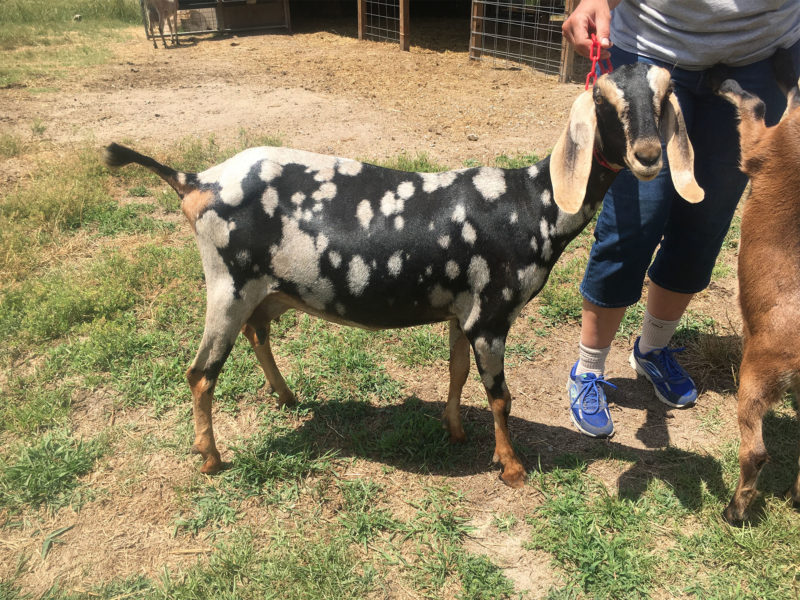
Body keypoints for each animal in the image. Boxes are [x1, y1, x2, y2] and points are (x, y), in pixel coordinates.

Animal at [103, 63, 702, 487]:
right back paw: (210, 458)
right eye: (604, 101)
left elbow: (457, 374)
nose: (649, 155)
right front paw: (510, 468)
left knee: (258, 333)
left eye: (665, 95)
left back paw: (287, 398)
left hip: (260, 289)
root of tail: (196, 181)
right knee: (200, 373)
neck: (531, 204)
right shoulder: (491, 315)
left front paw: (455, 431)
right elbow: (501, 396)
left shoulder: (463, 312)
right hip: (228, 284)